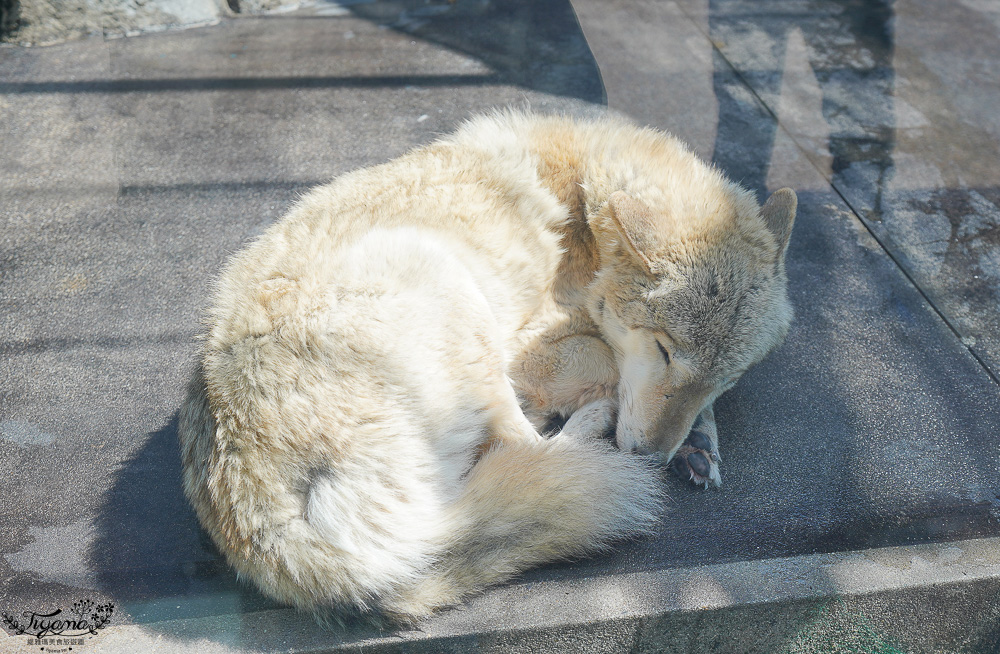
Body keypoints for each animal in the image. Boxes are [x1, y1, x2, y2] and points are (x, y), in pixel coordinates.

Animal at [178, 110, 796, 624]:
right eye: (665, 351)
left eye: (727, 377)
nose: (650, 458)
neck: (583, 209)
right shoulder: (534, 347)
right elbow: (609, 370)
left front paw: (700, 441)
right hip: (444, 279)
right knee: (529, 446)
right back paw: (588, 428)